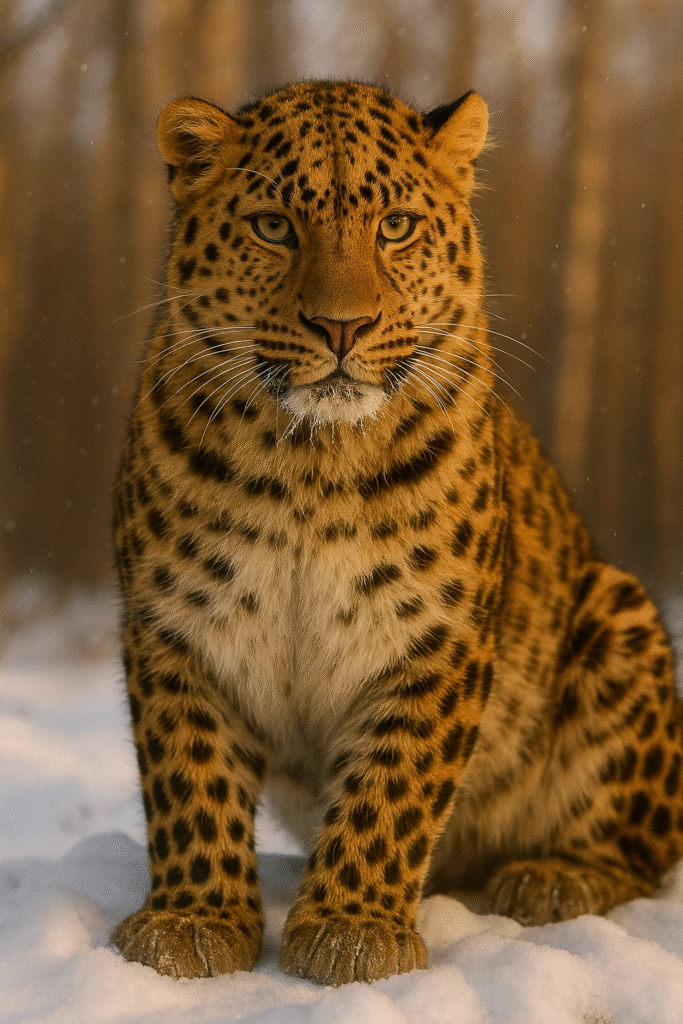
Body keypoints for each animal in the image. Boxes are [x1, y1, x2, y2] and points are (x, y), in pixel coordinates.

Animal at [110, 80, 683, 987]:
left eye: (396, 226)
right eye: (273, 225)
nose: (340, 328)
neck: (310, 462)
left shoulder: (433, 635)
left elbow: (391, 787)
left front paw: (351, 930)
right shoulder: (178, 624)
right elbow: (188, 779)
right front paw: (192, 920)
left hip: (617, 612)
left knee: (637, 848)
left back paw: (552, 877)